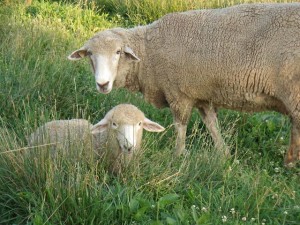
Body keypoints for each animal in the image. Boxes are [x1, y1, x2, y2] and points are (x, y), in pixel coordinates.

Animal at [69, 2, 300, 165]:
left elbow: (180, 126)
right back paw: (289, 161)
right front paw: (224, 154)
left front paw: (178, 155)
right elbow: (212, 124)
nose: (102, 84)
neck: (148, 54)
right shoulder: (201, 94)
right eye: (90, 54)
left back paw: (289, 164)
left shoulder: (178, 93)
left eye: (118, 52)